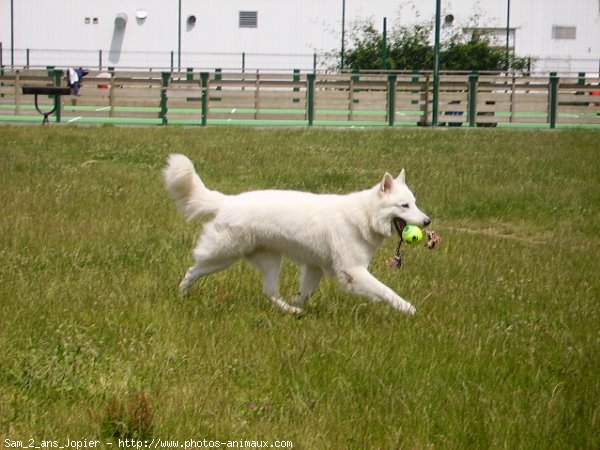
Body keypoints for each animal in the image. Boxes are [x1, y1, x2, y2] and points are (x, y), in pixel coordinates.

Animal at [162, 153, 428, 314]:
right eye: (404, 206)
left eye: (415, 203)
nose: (427, 221)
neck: (363, 215)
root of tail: (226, 201)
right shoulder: (353, 271)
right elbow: (385, 290)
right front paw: (408, 308)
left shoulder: (315, 268)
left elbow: (305, 293)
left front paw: (298, 303)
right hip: (223, 255)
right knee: (192, 270)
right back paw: (182, 294)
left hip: (270, 261)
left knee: (270, 292)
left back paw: (292, 311)